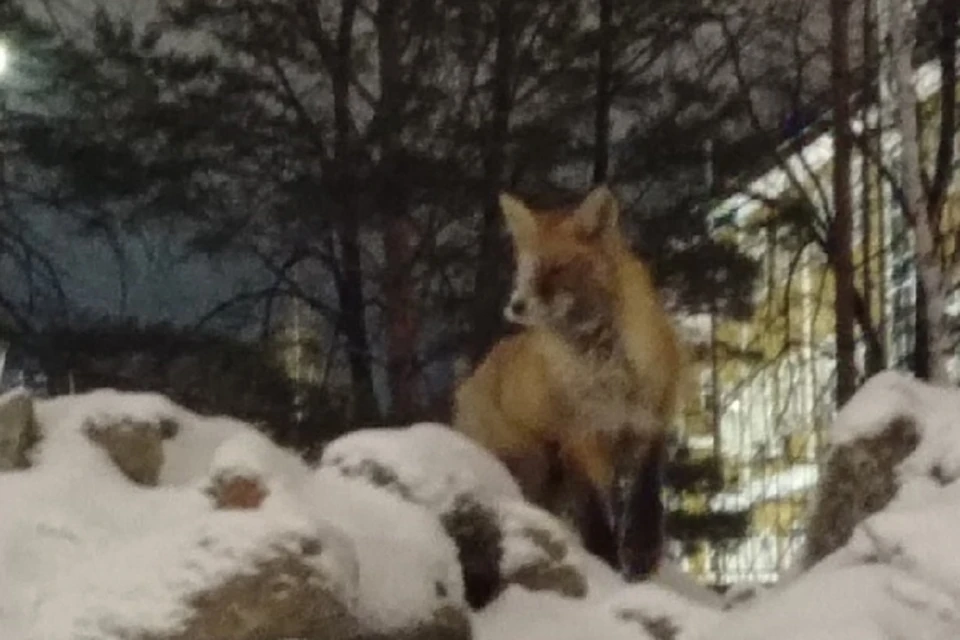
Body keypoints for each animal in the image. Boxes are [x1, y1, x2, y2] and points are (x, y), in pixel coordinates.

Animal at [452, 185, 684, 580]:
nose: (515, 306)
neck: (604, 365)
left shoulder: (650, 423)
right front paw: (607, 561)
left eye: (557, 268)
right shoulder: (580, 439)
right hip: (534, 467)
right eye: (524, 270)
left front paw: (642, 551)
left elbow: (646, 496)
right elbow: (595, 515)